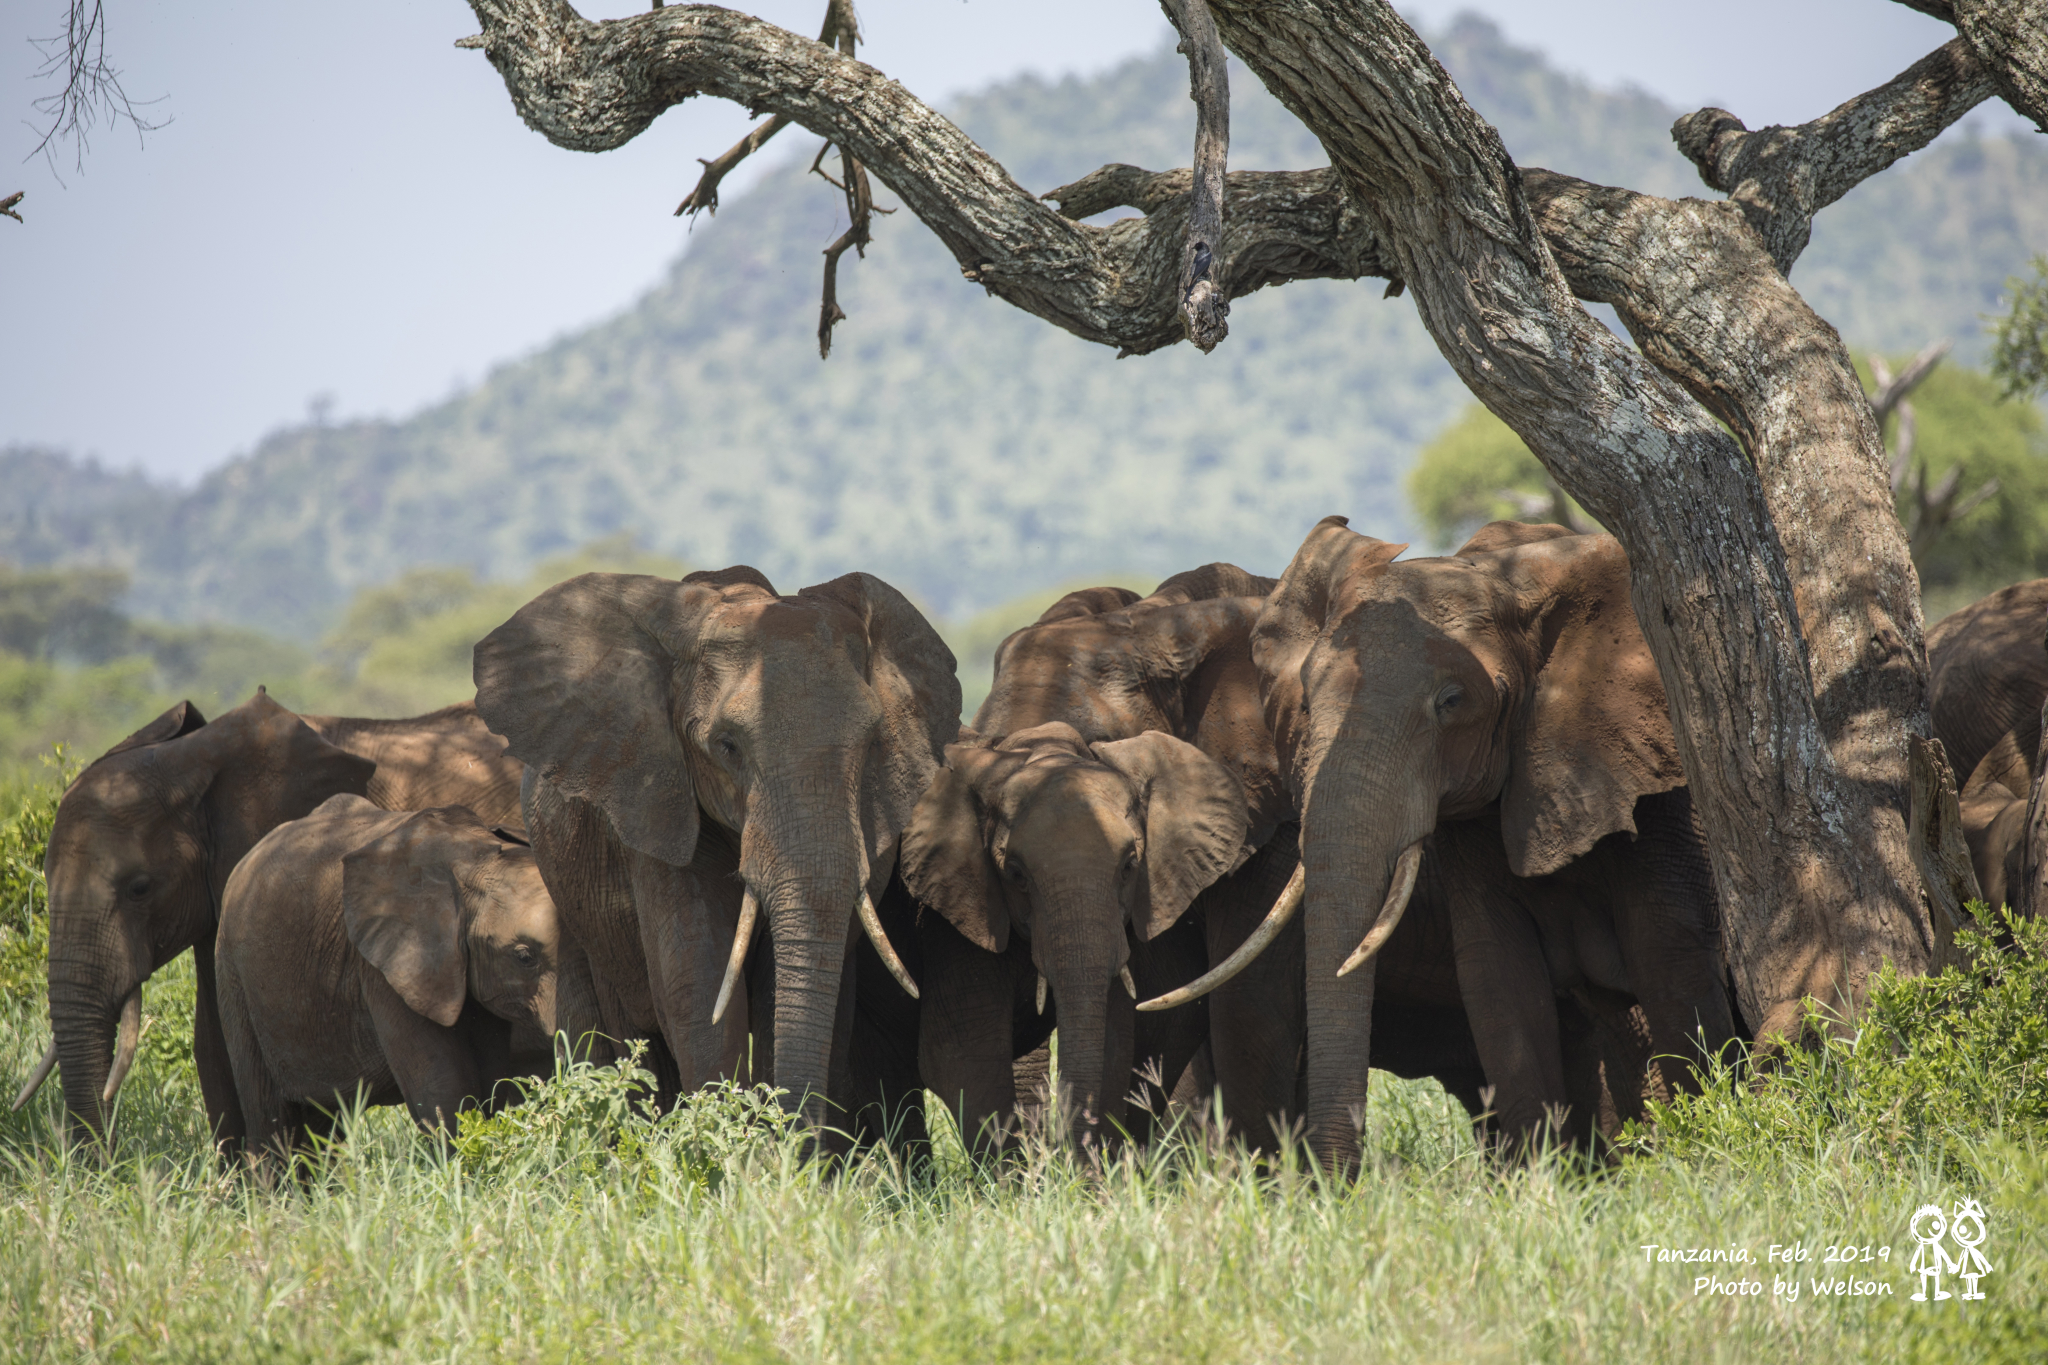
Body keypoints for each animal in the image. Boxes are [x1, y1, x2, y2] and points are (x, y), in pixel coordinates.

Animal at [217, 789, 585, 1154]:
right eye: (524, 957)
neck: (472, 859)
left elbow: (488, 1077)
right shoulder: (385, 968)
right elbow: (443, 1086)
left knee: (320, 1125)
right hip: (233, 977)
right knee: (269, 1118)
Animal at [1236, 517, 1736, 1170]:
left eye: (1451, 703)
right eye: (1305, 699)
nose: (1331, 1186)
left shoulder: (1663, 797)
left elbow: (1672, 962)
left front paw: (1701, 1162)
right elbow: (1497, 978)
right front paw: (1540, 1183)